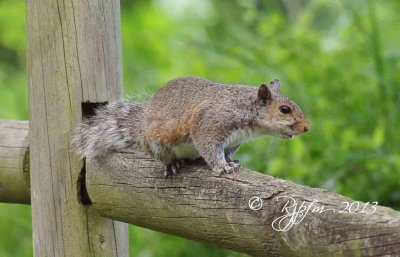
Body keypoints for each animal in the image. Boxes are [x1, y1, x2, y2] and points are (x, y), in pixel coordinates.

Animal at [72, 76, 310, 176]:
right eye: (285, 109)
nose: (307, 128)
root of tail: (141, 129)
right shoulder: (210, 125)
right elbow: (210, 148)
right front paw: (223, 166)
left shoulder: (233, 142)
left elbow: (226, 152)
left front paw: (232, 161)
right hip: (157, 144)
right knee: (164, 157)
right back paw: (173, 164)